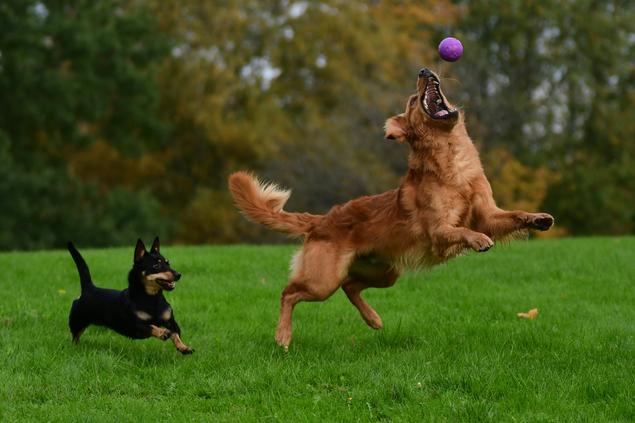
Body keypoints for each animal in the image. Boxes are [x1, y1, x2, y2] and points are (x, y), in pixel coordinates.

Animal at [227, 68, 552, 350]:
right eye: (412, 101)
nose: (424, 70)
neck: (452, 161)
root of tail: (322, 220)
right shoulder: (437, 231)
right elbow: (461, 229)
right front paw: (478, 240)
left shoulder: (487, 214)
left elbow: (511, 216)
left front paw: (537, 218)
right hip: (323, 280)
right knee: (289, 293)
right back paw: (283, 336)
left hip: (385, 272)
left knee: (350, 286)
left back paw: (373, 319)